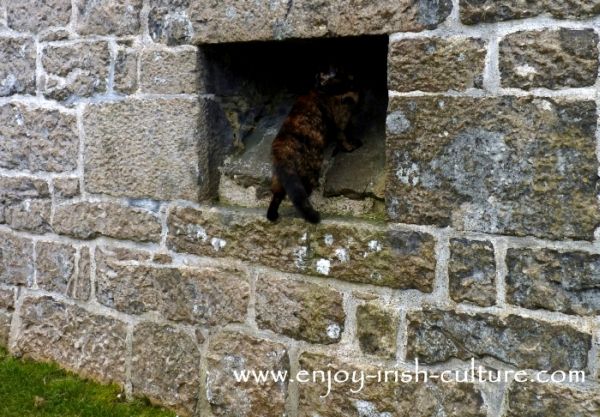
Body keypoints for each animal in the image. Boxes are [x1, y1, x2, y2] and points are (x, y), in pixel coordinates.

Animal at [268, 69, 360, 223]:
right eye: (325, 80)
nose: (320, 84)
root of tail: (281, 148)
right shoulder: (339, 123)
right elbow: (343, 138)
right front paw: (351, 146)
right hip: (311, 167)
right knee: (302, 194)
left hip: (280, 178)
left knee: (277, 196)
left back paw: (272, 215)